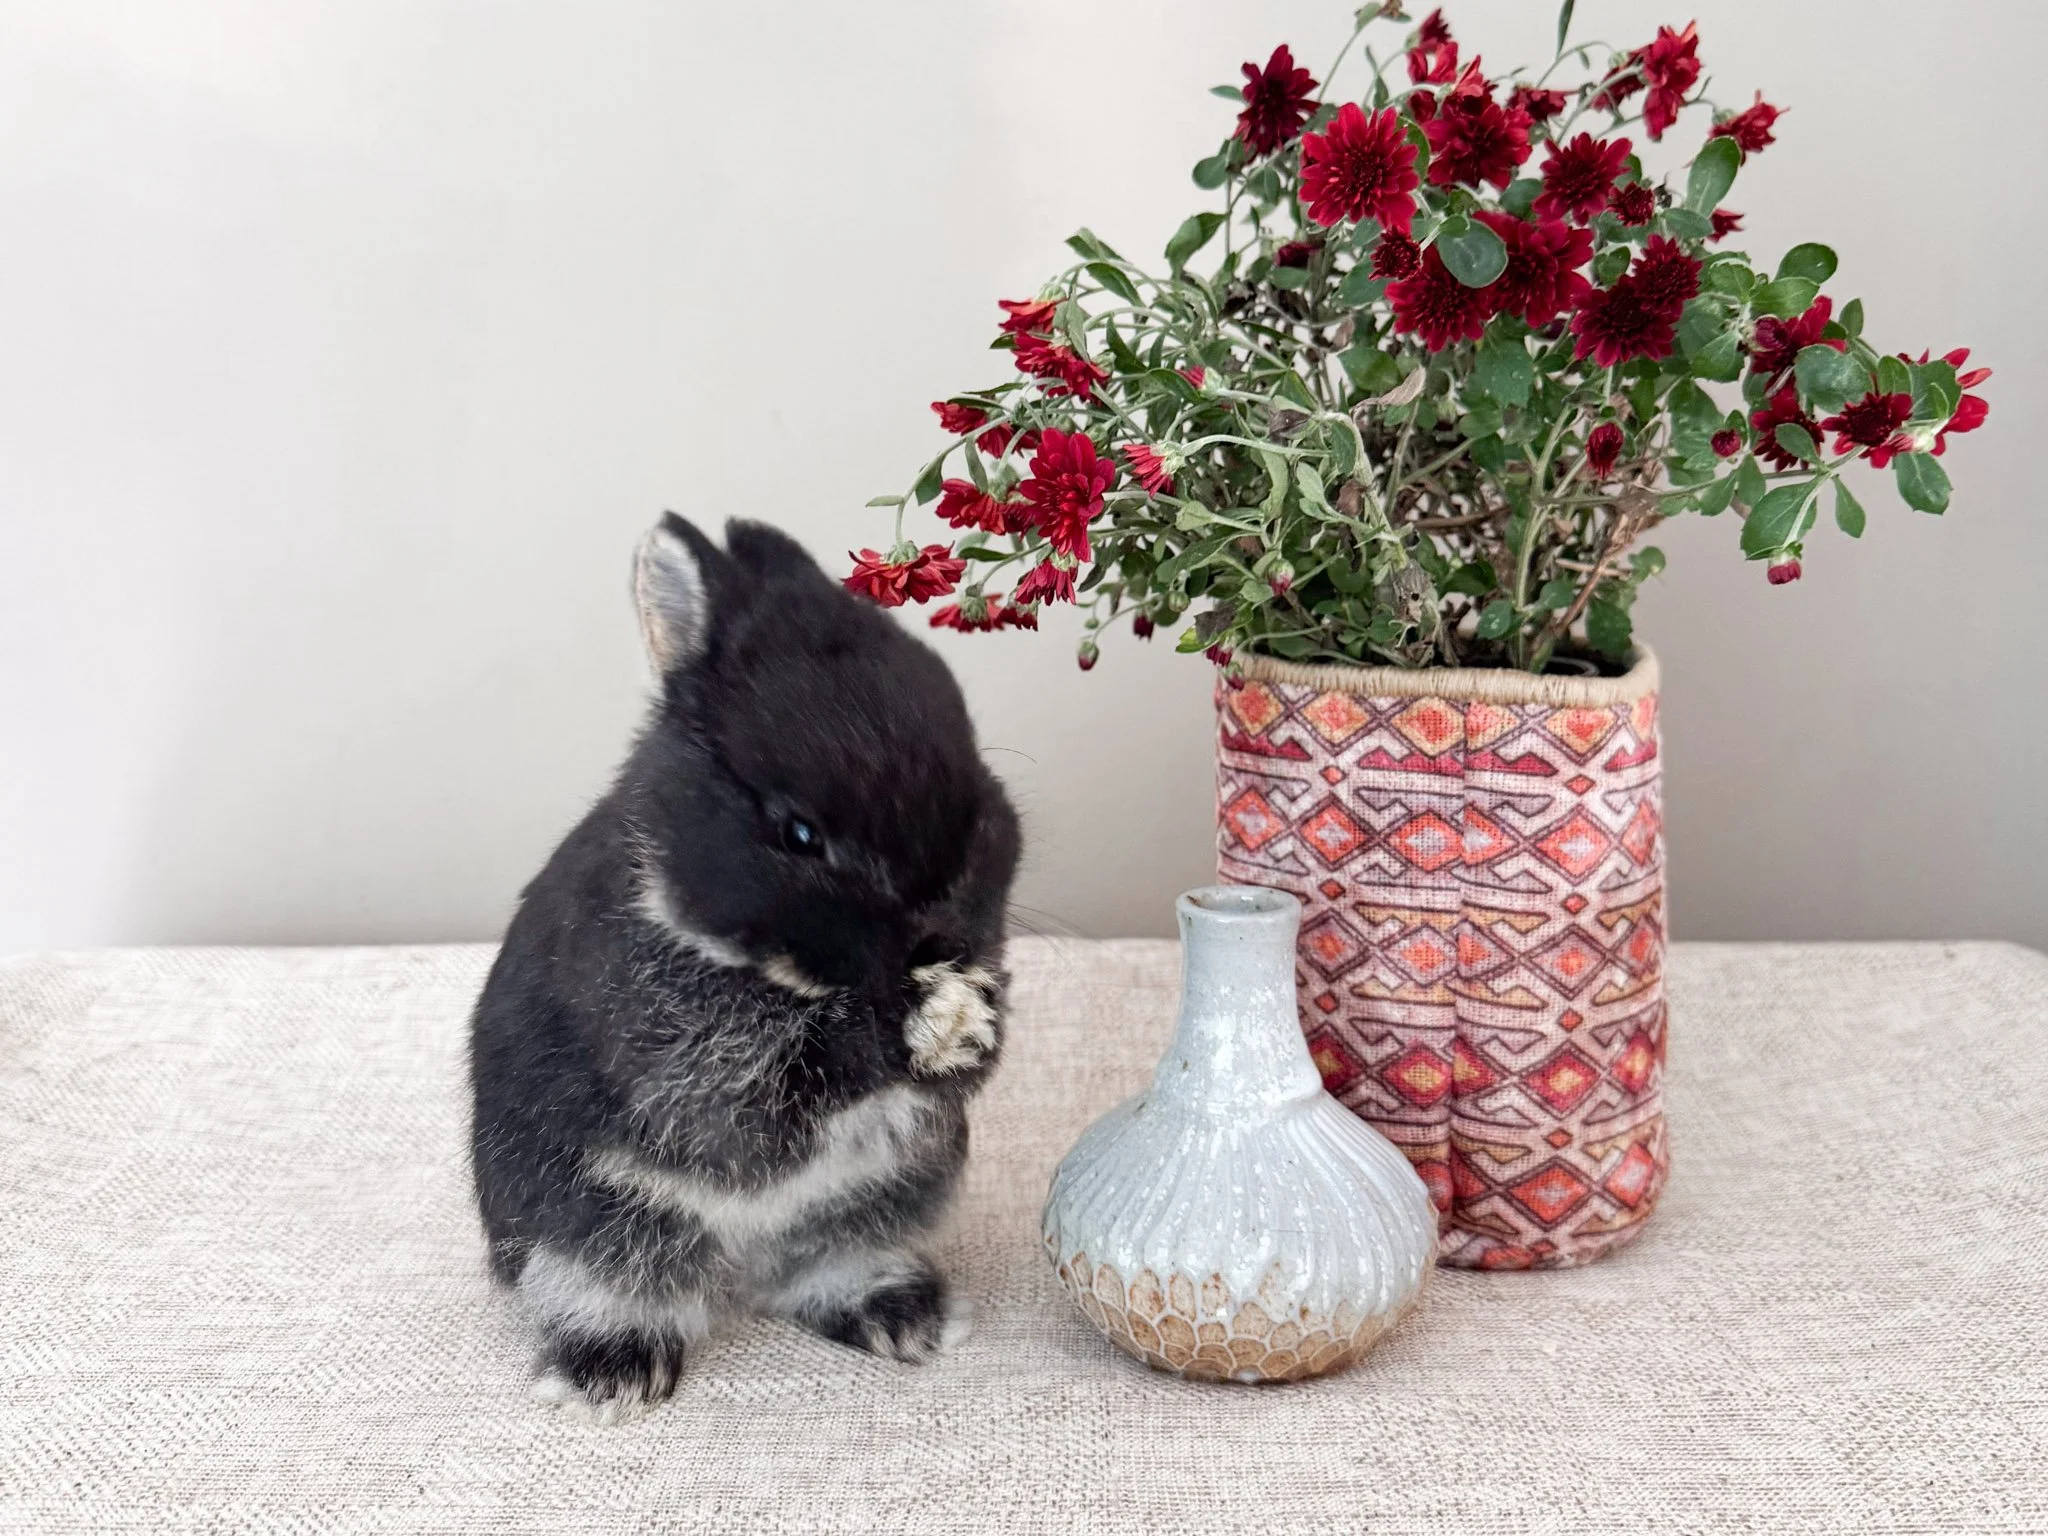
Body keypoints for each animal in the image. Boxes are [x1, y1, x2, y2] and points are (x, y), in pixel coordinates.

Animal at [469, 513, 1020, 1421]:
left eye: (977, 774)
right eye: (799, 834)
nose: (940, 938)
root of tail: (744, 1276)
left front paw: (973, 1023)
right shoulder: (689, 1058)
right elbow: (775, 1088)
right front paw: (914, 1028)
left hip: (885, 1206)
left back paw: (903, 1320)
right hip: (591, 1230)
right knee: (601, 1290)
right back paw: (613, 1376)